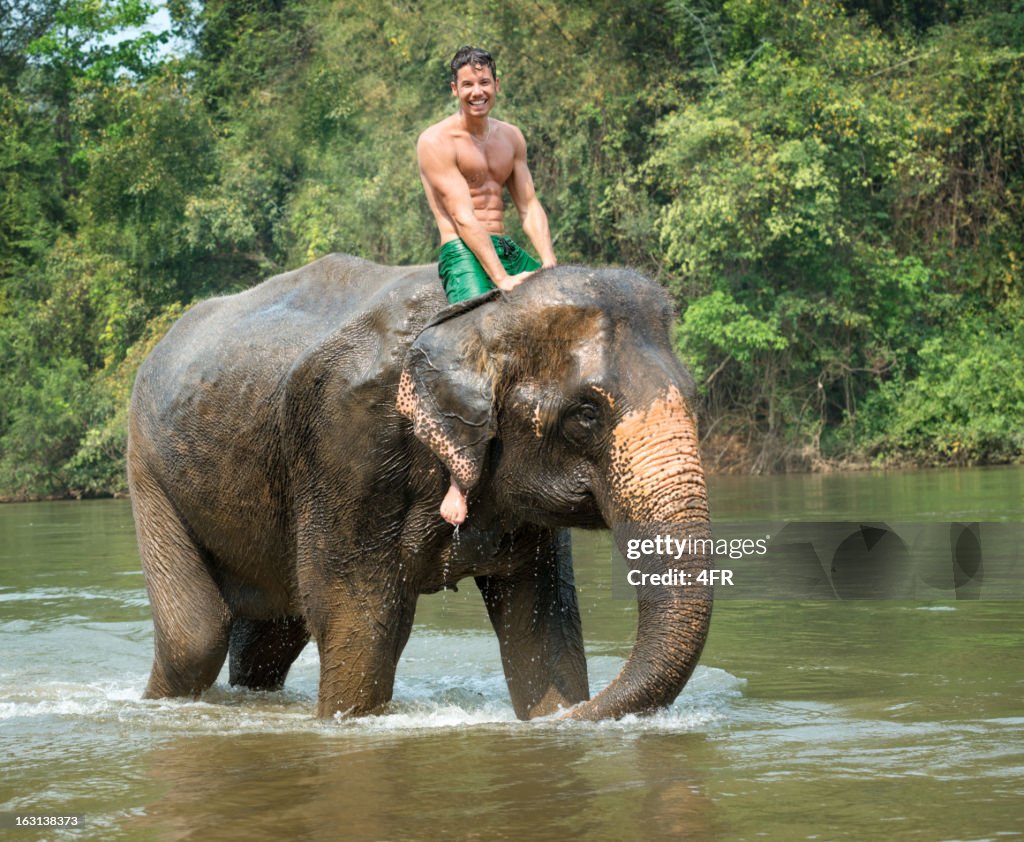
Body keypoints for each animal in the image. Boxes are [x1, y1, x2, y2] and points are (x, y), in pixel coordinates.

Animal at [127, 254, 713, 720]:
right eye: (586, 414)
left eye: (692, 395)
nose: (574, 716)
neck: (480, 316)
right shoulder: (347, 445)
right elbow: (361, 622)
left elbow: (539, 623)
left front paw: (550, 712)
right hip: (147, 468)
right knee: (196, 639)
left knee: (270, 636)